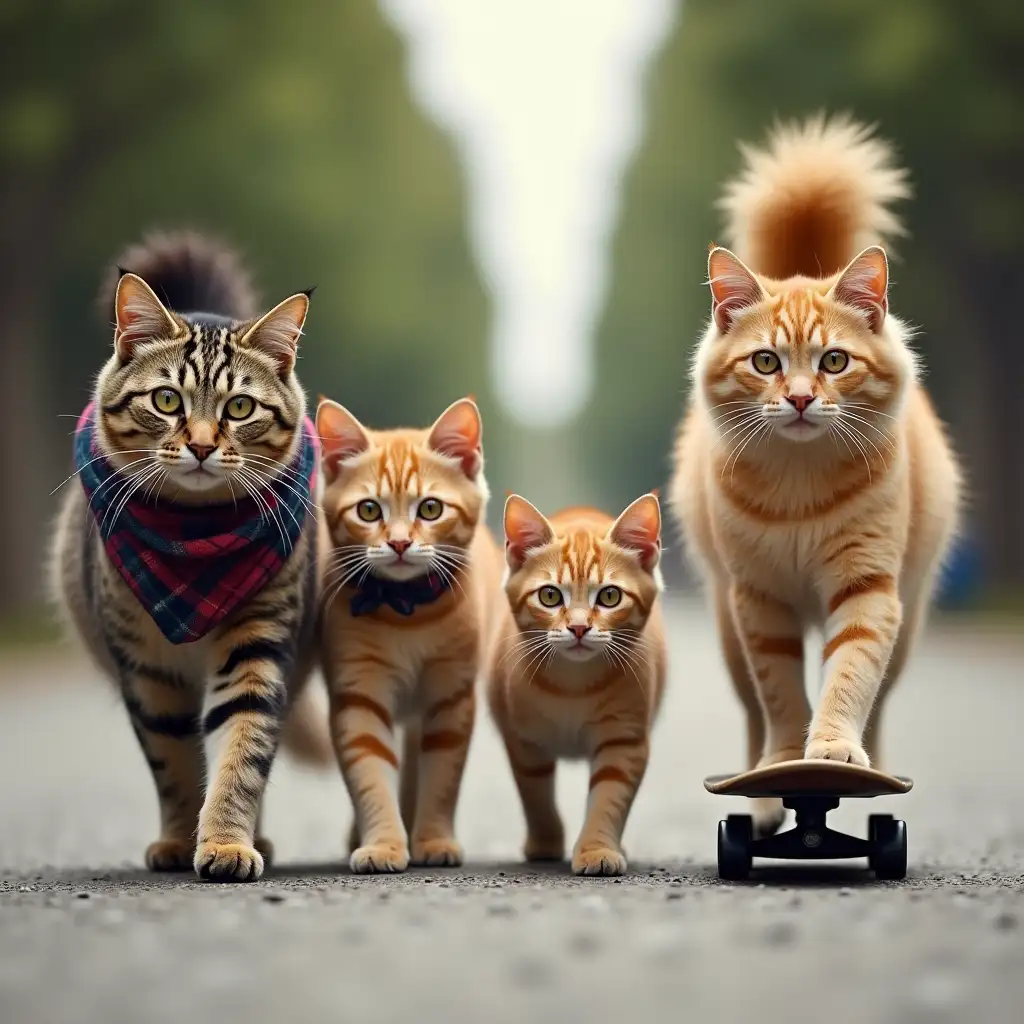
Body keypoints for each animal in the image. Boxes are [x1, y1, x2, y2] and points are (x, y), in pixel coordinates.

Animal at [50, 232, 327, 880]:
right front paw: (181, 838)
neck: (194, 541)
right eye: (167, 399)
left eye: (239, 409)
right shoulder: (147, 671)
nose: (201, 445)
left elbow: (243, 752)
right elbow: (173, 763)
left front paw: (225, 841)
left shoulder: (258, 645)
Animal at [313, 395, 501, 876]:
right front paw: (382, 842)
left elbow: (441, 778)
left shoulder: (451, 699)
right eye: (368, 510)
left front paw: (432, 838)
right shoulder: (358, 694)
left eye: (430, 508)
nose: (398, 543)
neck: (407, 614)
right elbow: (371, 775)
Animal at [485, 493, 667, 872]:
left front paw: (597, 848)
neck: (573, 685)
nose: (579, 627)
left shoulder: (624, 740)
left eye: (610, 596)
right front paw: (545, 842)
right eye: (550, 596)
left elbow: (609, 798)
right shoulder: (525, 742)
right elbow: (536, 797)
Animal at [671, 114, 958, 831]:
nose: (801, 399)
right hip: (727, 625)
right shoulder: (759, 600)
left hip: (909, 617)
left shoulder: (867, 588)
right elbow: (779, 698)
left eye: (833, 361)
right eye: (766, 362)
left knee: (879, 697)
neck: (798, 482)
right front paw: (780, 774)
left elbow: (850, 677)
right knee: (752, 709)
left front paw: (831, 752)